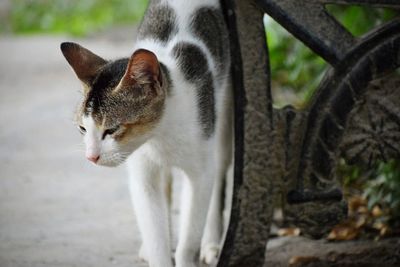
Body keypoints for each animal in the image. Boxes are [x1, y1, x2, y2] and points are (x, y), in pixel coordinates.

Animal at [61, 0, 233, 266]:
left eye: (112, 129)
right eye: (83, 128)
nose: (91, 157)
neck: (160, 133)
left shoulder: (201, 169)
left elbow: (189, 238)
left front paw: (188, 254)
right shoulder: (142, 174)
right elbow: (155, 232)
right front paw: (157, 251)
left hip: (223, 112)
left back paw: (212, 242)